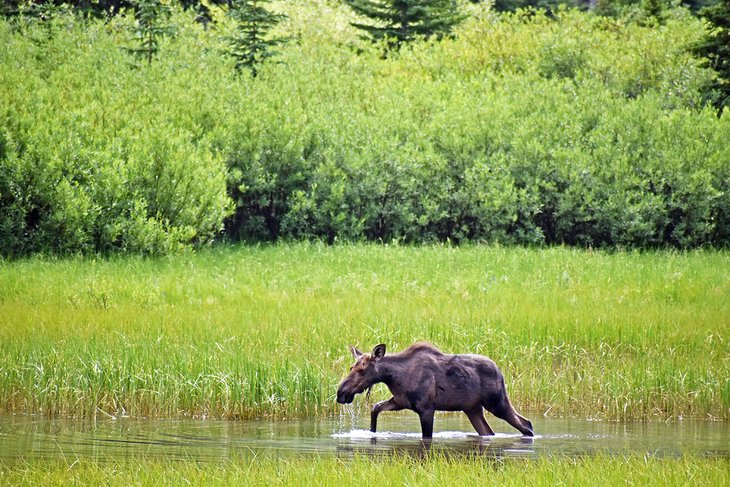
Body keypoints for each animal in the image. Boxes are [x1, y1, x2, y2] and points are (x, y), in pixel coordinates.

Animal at [332, 342, 532, 440]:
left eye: (362, 370)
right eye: (351, 367)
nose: (341, 393)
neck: (393, 378)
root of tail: (500, 371)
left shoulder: (427, 408)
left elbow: (426, 436)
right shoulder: (400, 401)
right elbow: (375, 408)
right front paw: (371, 432)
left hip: (497, 402)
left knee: (526, 424)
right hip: (473, 409)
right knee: (489, 432)